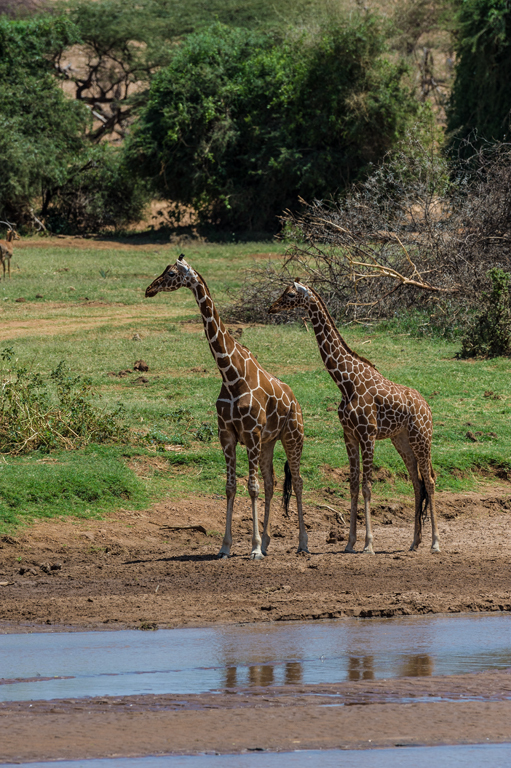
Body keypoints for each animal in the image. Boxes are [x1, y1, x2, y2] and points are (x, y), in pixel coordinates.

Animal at [144, 255, 308, 560]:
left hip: (293, 436)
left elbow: (251, 487)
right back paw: (268, 542)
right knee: (272, 483)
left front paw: (253, 548)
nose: (150, 289)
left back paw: (302, 543)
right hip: (269, 442)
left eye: (171, 273)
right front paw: (226, 547)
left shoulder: (251, 434)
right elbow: (231, 487)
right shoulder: (228, 434)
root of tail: (295, 400)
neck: (231, 374)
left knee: (298, 481)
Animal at [270, 280, 442, 552]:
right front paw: (350, 543)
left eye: (289, 294)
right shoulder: (349, 435)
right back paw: (414, 542)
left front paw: (368, 544)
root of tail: (428, 407)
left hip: (422, 439)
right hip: (402, 441)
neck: (346, 382)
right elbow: (352, 485)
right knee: (417, 483)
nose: (271, 308)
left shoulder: (368, 435)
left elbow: (367, 486)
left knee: (430, 481)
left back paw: (435, 542)